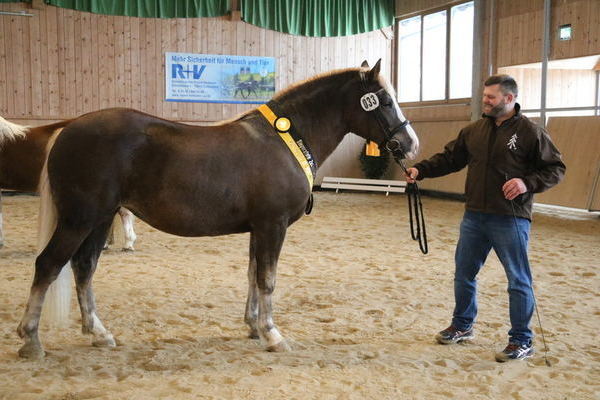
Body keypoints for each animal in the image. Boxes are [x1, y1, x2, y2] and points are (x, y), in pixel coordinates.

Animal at [14, 61, 418, 358]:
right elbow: (268, 279)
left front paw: (254, 327)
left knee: (84, 267)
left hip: (100, 219)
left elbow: (254, 275)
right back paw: (31, 339)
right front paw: (273, 335)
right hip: (79, 219)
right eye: (383, 100)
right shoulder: (273, 225)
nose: (409, 144)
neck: (285, 140)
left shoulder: (259, 227)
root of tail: (68, 128)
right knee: (48, 265)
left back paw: (99, 333)